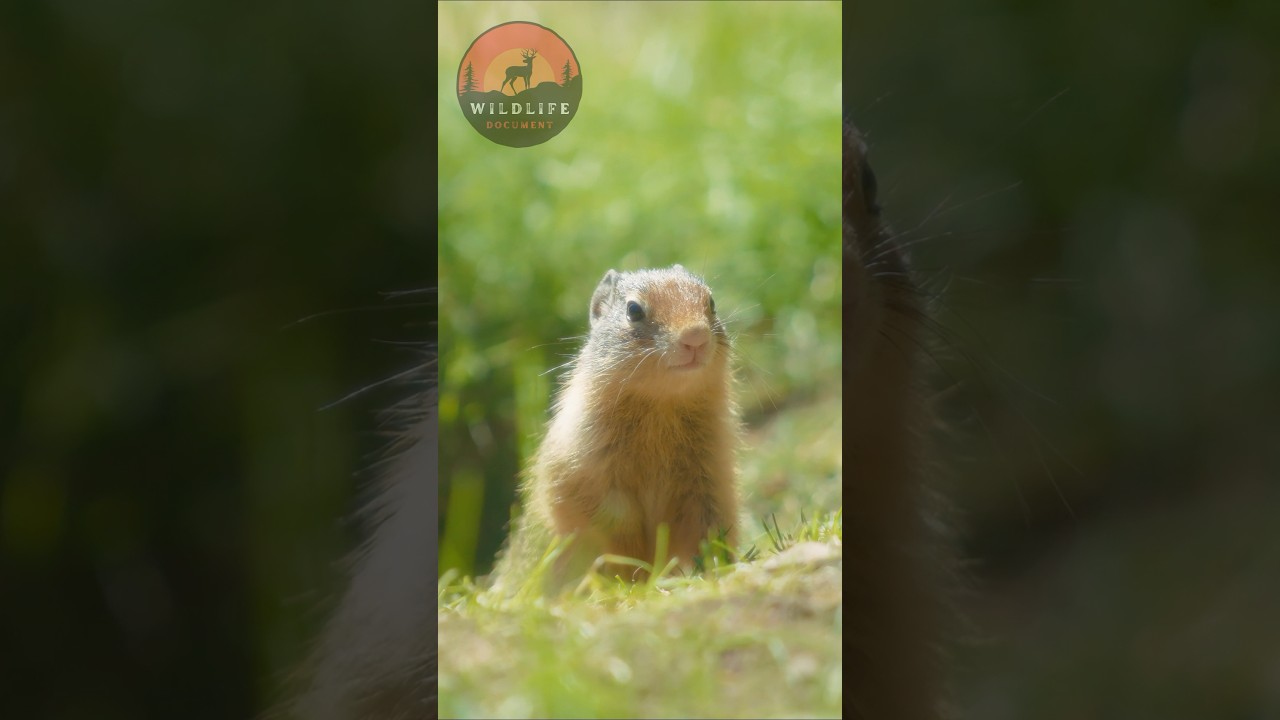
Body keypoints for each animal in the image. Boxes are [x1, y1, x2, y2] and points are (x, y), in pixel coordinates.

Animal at [492, 265, 742, 591]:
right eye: (633, 310)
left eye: (710, 303)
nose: (695, 337)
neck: (661, 405)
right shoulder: (589, 478)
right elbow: (613, 531)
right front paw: (633, 576)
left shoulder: (709, 478)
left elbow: (706, 526)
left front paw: (714, 564)